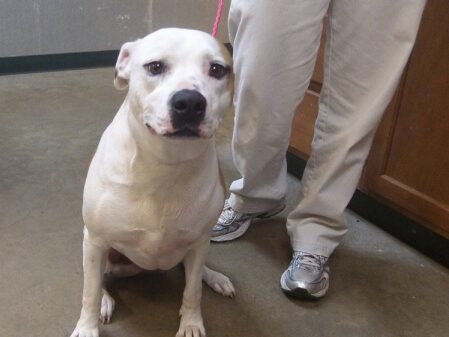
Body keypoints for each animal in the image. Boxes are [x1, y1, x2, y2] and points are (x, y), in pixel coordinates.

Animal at [70, 28, 234, 336]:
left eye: (217, 70)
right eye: (155, 66)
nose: (190, 102)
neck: (165, 164)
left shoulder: (199, 240)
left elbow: (192, 290)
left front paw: (191, 323)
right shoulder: (95, 239)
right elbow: (89, 292)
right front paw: (87, 327)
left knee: (194, 271)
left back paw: (215, 277)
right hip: (101, 250)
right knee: (99, 280)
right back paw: (105, 301)